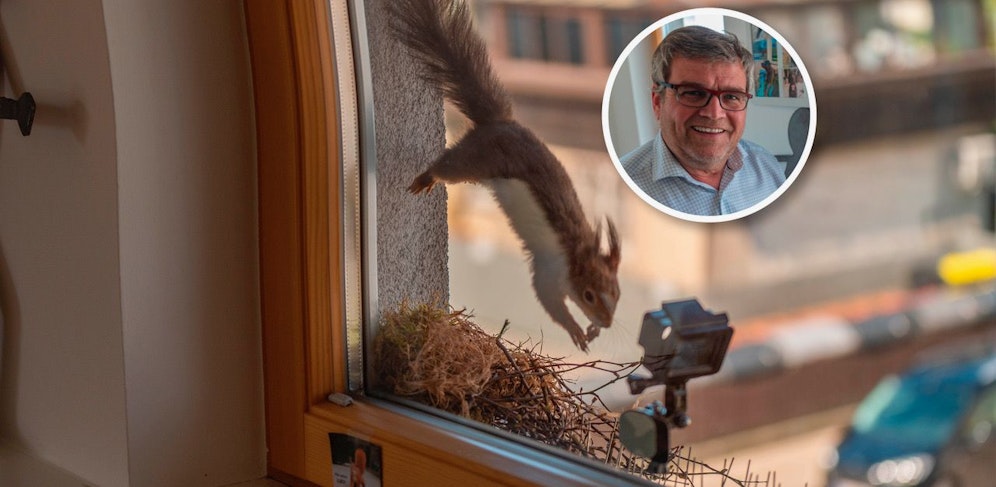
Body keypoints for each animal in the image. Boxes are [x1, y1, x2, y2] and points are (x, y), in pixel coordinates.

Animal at [386, 0, 620, 350]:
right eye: (589, 295)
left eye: (616, 293)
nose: (607, 322)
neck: (576, 253)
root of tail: (500, 123)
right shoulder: (550, 271)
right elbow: (549, 300)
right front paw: (576, 330)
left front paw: (592, 331)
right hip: (476, 159)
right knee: (447, 166)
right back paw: (426, 178)